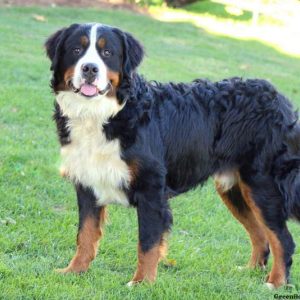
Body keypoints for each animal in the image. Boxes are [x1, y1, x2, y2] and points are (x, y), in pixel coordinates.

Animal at [45, 23, 300, 288]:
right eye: (76, 49)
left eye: (107, 53)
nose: (89, 69)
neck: (105, 115)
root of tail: (280, 100)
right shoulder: (87, 184)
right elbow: (85, 234)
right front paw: (74, 271)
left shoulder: (151, 190)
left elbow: (147, 243)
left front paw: (141, 283)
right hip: (234, 188)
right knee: (261, 234)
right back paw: (249, 272)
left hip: (262, 186)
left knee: (283, 239)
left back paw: (276, 283)